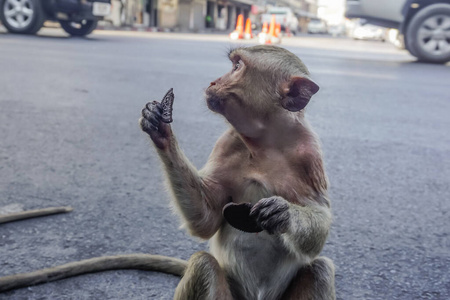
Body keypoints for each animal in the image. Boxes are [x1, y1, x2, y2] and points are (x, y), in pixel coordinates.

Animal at [0, 44, 334, 300]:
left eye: (237, 66)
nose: (214, 81)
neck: (264, 143)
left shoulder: (309, 154)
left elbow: (317, 230)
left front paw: (282, 213)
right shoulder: (227, 145)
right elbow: (206, 219)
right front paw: (160, 130)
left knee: (320, 269)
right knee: (202, 264)